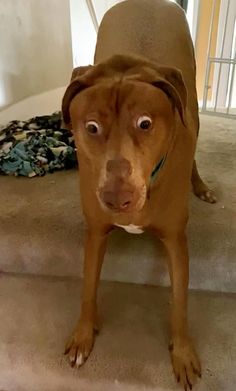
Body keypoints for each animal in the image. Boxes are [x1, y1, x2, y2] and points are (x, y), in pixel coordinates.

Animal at [61, 1, 216, 390]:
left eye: (145, 123)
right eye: (91, 127)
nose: (117, 200)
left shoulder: (175, 239)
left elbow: (179, 301)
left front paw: (183, 353)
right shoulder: (96, 231)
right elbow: (87, 286)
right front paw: (83, 335)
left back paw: (201, 186)